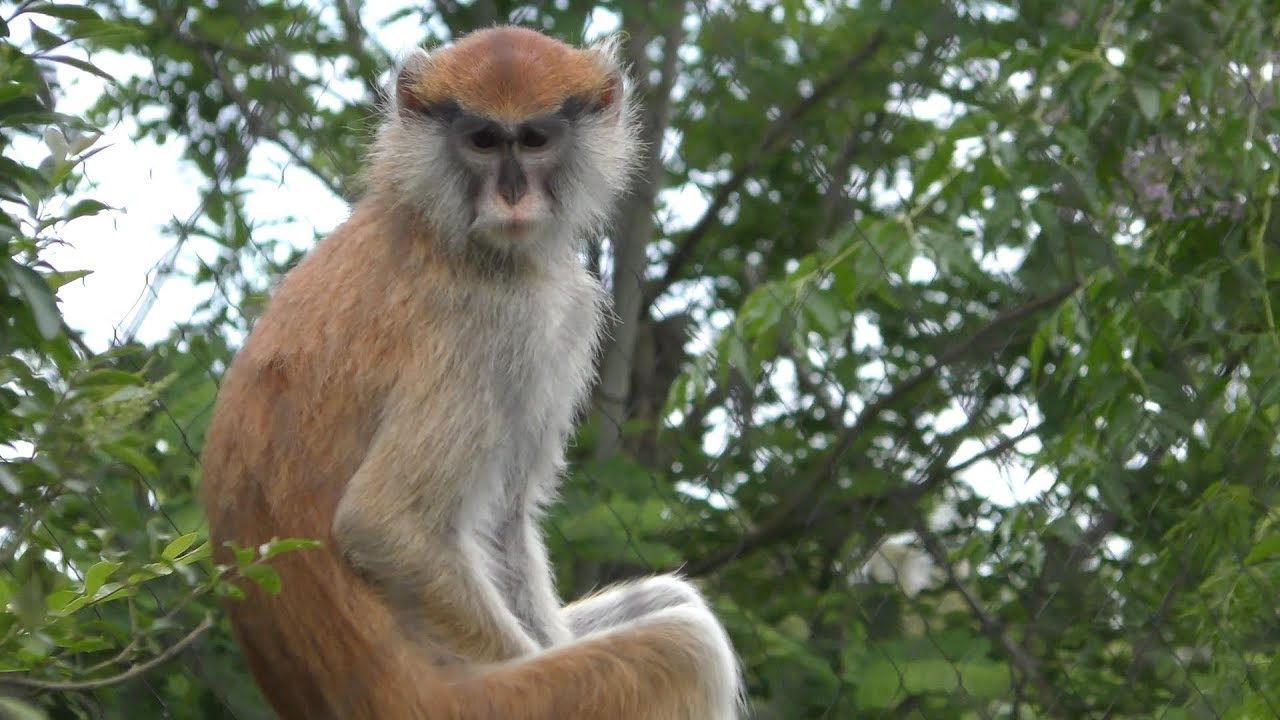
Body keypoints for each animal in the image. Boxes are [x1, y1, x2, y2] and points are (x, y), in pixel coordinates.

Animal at [199, 26, 744, 720]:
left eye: (533, 140)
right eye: (483, 141)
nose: (511, 195)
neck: (432, 220)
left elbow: (505, 519)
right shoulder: (490, 324)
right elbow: (384, 525)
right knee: (684, 642)